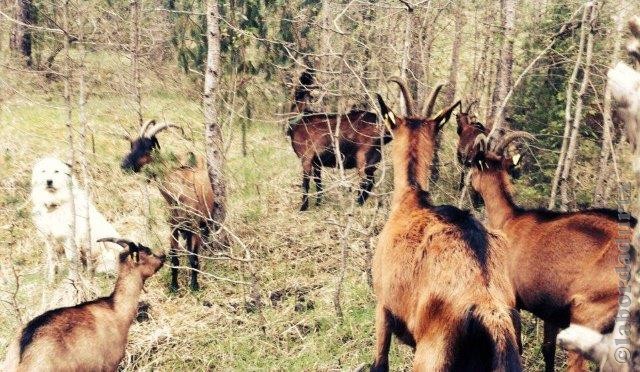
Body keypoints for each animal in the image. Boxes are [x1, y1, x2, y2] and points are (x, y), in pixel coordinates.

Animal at [121, 120, 216, 292]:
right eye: (132, 145)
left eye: (148, 146)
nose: (124, 165)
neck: (180, 192)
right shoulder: (173, 228)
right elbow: (175, 258)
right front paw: (174, 286)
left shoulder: (195, 226)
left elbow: (194, 258)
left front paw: (194, 286)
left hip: (203, 223)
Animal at [284, 70, 390, 209]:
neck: (301, 120)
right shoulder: (317, 162)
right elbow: (318, 182)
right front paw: (318, 204)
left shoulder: (306, 158)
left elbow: (305, 183)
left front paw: (303, 208)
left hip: (363, 158)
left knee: (367, 182)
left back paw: (358, 203)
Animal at [458, 117, 636, 370]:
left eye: (473, 165)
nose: (472, 195)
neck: (509, 220)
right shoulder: (550, 310)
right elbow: (548, 349)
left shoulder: (511, 300)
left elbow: (517, 346)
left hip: (587, 315)